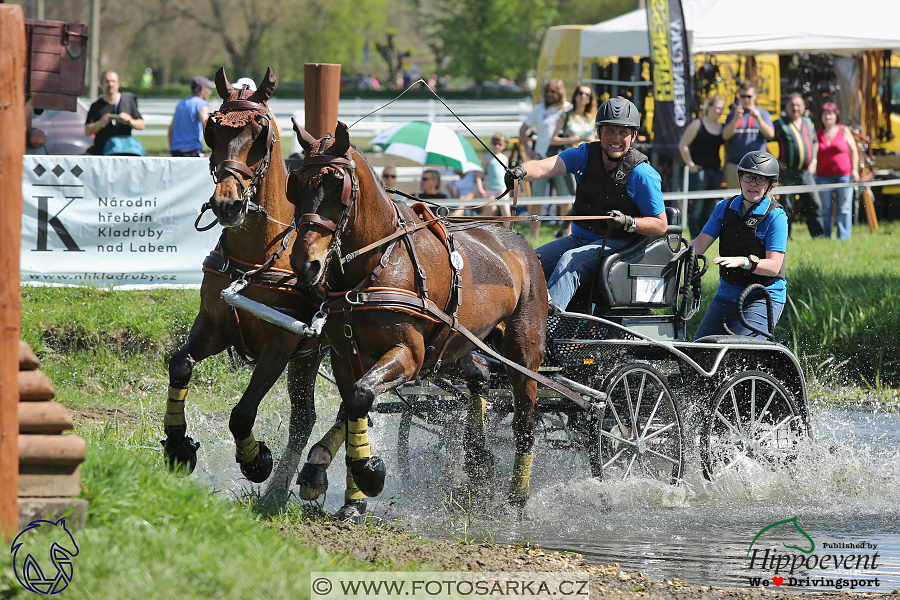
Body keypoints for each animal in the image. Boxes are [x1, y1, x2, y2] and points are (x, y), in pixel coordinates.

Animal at [163, 68, 326, 504]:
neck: (259, 258)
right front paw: (178, 443)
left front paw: (255, 460)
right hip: (309, 358)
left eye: (261, 132)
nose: (227, 204)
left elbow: (241, 414)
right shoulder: (213, 325)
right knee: (304, 418)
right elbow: (180, 364)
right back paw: (279, 492)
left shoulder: (281, 345)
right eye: (213, 128)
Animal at [284, 122, 548, 516]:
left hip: (521, 349)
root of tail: (519, 242)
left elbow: (360, 397)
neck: (376, 263)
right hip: (455, 347)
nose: (306, 265)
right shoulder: (346, 355)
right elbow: (352, 407)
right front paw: (343, 491)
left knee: (525, 420)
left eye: (337, 186)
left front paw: (367, 475)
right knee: (480, 376)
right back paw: (477, 454)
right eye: (296, 184)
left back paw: (517, 497)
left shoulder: (408, 354)